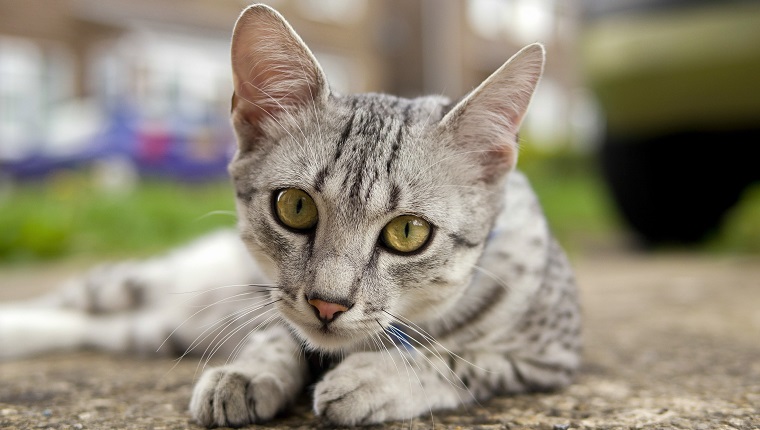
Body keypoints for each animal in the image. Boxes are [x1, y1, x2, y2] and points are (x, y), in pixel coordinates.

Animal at [0, 5, 580, 428]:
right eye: (295, 206)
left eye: (408, 232)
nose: (328, 304)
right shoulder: (269, 304)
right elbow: (277, 332)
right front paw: (248, 373)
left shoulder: (547, 355)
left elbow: (457, 356)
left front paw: (375, 378)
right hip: (155, 281)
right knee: (78, 301)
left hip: (156, 326)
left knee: (102, 327)